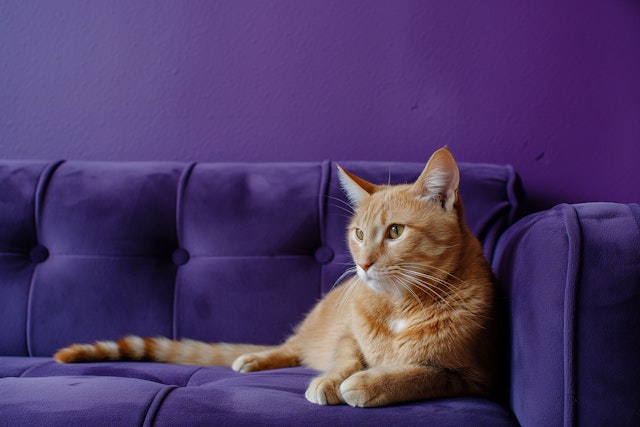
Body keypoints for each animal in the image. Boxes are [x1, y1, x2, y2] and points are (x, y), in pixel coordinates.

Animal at [55, 149, 496, 410]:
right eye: (358, 234)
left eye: (395, 232)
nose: (363, 264)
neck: (401, 305)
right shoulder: (347, 337)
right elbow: (345, 357)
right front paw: (332, 380)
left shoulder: (468, 376)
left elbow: (419, 374)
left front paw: (368, 383)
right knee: (291, 347)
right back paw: (255, 358)